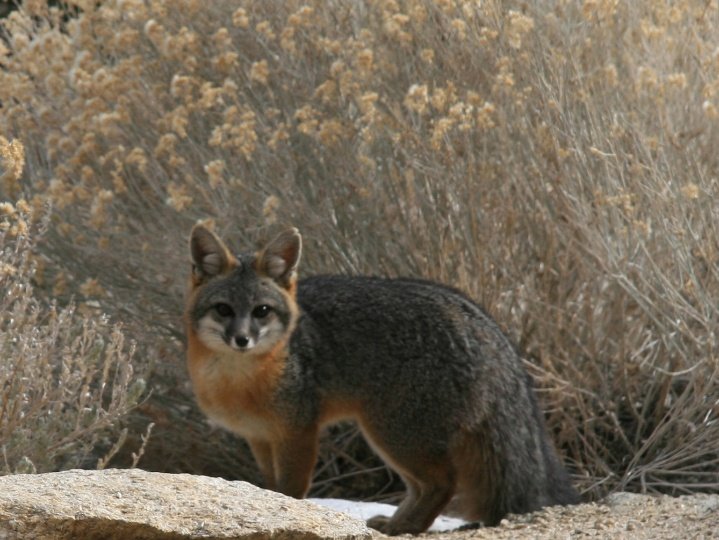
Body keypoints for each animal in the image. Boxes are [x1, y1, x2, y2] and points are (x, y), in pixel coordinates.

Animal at [184, 224, 579, 535]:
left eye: (261, 311)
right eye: (224, 310)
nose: (241, 339)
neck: (241, 381)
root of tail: (475, 316)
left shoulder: (298, 432)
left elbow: (290, 490)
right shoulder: (260, 438)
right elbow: (269, 489)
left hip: (392, 433)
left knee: (443, 483)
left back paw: (404, 526)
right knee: (425, 487)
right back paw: (395, 522)